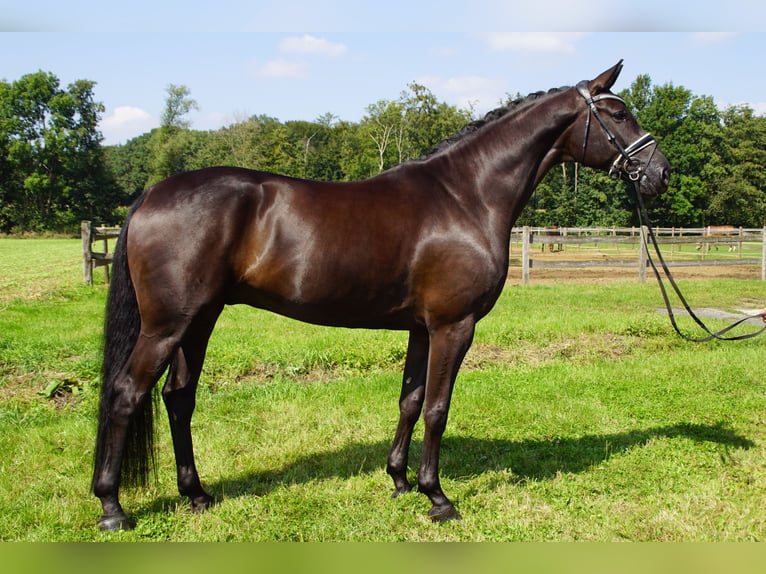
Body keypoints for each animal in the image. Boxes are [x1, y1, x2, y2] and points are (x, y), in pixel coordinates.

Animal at [93, 62, 668, 532]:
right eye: (618, 113)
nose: (660, 172)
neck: (466, 195)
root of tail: (151, 194)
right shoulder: (453, 326)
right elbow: (437, 407)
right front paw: (438, 498)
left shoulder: (421, 327)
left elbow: (410, 401)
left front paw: (399, 481)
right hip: (167, 324)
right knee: (126, 394)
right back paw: (113, 508)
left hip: (200, 319)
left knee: (178, 398)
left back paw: (197, 495)